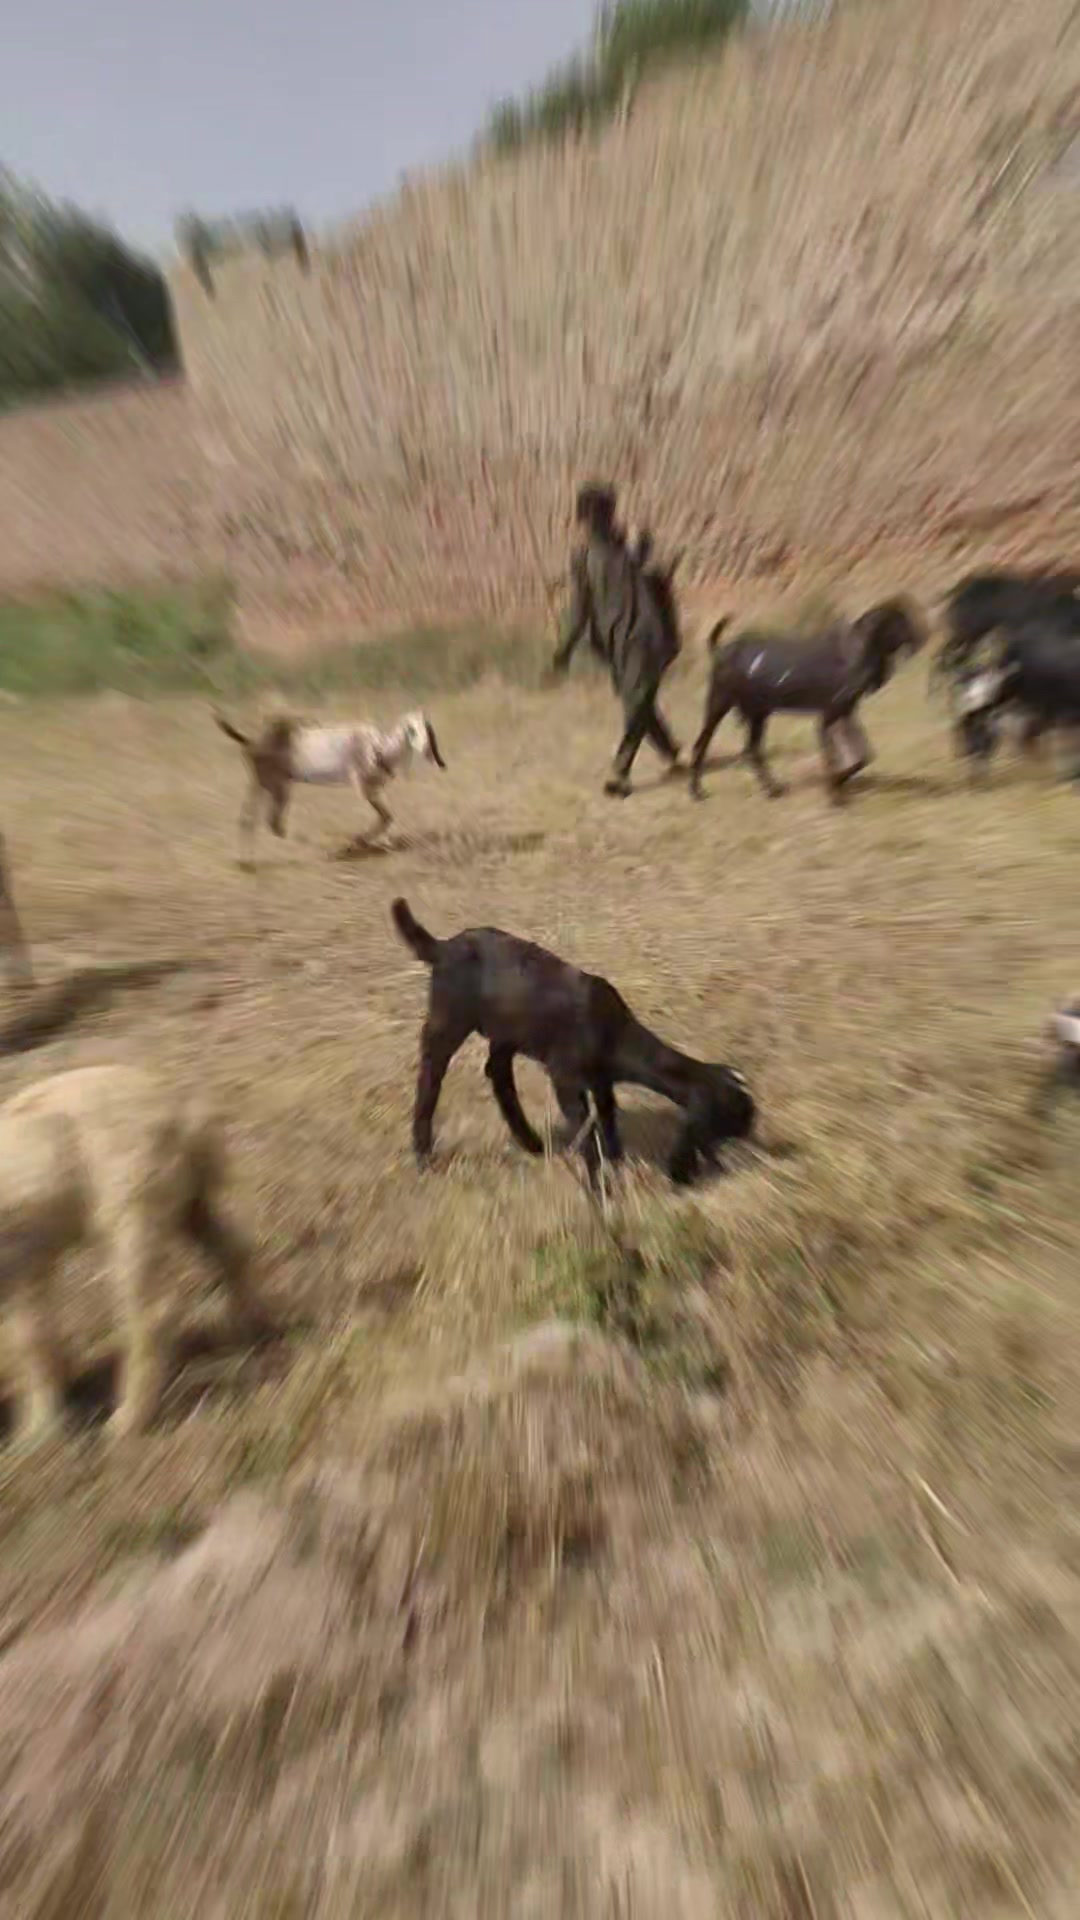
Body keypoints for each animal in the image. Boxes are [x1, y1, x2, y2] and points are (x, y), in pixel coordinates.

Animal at [0, 1064, 274, 1445]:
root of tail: (186, 1115)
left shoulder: (23, 1260)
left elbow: (31, 1341)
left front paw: (40, 1434)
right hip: (190, 1201)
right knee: (233, 1251)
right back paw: (247, 1330)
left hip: (134, 1209)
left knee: (153, 1313)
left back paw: (127, 1422)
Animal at [213, 707, 447, 861]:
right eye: (411, 730)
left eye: (426, 730)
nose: (427, 751)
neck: (379, 748)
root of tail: (252, 741)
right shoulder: (363, 788)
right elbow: (386, 817)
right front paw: (355, 842)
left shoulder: (375, 788)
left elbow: (387, 818)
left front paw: (380, 843)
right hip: (276, 787)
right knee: (270, 822)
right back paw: (321, 848)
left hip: (266, 785)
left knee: (252, 819)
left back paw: (246, 861)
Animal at [391, 897, 755, 1187]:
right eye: (727, 1117)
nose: (752, 1125)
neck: (613, 1032)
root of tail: (442, 947)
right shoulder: (566, 1077)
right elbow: (585, 1131)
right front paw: (598, 1186)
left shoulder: (601, 1080)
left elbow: (608, 1117)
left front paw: (616, 1162)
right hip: (449, 1018)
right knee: (432, 1074)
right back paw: (424, 1156)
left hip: (508, 1031)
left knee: (497, 1071)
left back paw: (533, 1144)